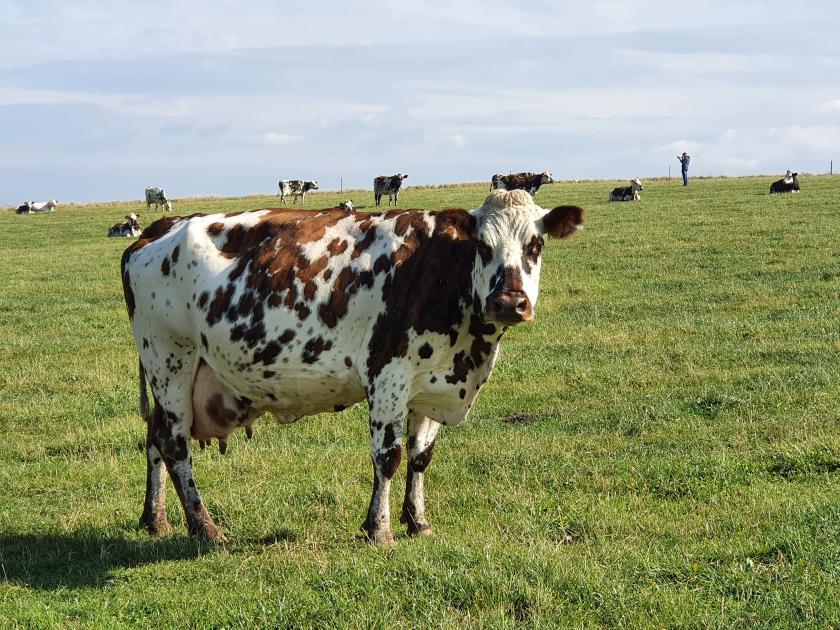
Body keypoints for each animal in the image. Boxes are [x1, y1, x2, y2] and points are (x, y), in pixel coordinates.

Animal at [121, 189, 584, 544]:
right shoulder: (388, 374)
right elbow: (388, 457)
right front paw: (379, 529)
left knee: (155, 436)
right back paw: (205, 527)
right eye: (483, 247)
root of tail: (160, 227)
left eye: (535, 246)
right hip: (169, 357)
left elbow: (420, 456)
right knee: (174, 443)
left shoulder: (430, 383)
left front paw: (418, 522)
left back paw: (155, 518)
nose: (509, 303)